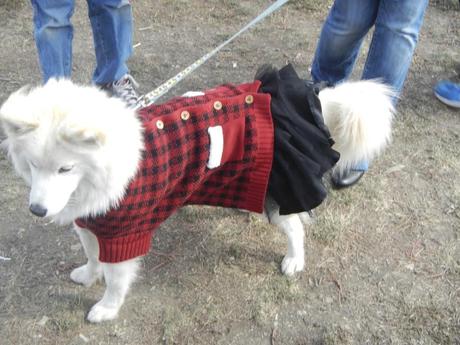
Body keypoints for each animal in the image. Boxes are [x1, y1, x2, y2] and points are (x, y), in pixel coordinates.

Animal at [1, 76, 394, 322]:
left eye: (65, 168)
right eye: (32, 165)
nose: (37, 210)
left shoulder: (125, 233)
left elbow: (115, 279)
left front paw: (107, 309)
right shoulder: (91, 223)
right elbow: (92, 255)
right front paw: (88, 274)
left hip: (277, 192)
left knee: (296, 227)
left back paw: (294, 260)